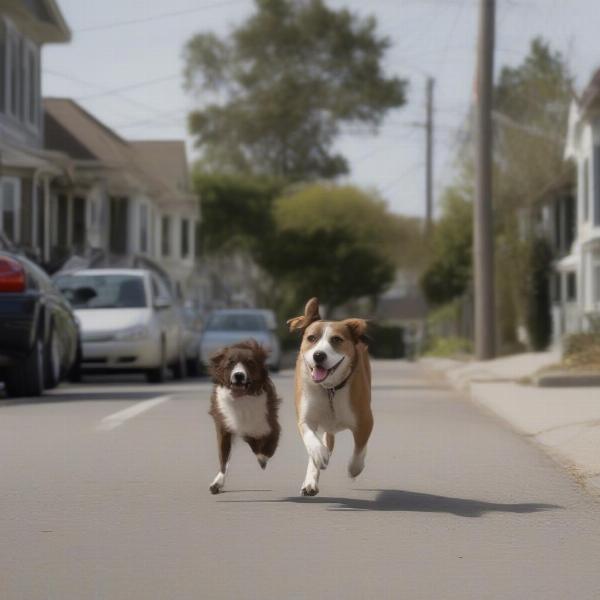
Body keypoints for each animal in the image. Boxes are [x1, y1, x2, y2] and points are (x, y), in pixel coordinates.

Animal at [206, 340, 282, 494]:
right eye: (230, 363)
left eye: (250, 363)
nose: (239, 375)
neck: (241, 400)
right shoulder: (224, 426)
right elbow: (223, 457)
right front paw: (217, 483)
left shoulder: (270, 425)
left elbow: (266, 448)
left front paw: (262, 460)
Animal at [288, 296, 372, 496]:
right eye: (311, 338)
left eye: (336, 339)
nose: (319, 355)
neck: (329, 390)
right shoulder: (305, 417)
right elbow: (311, 439)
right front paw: (320, 454)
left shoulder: (365, 420)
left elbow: (360, 446)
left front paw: (354, 468)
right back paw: (311, 480)